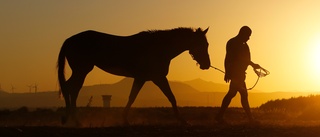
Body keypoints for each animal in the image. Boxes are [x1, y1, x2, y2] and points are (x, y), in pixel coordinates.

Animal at [57, 27, 210, 126]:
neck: (158, 47)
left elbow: (137, 97)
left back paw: (69, 118)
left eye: (206, 44)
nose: (207, 65)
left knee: (70, 87)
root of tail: (69, 40)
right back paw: (73, 119)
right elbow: (166, 96)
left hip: (80, 70)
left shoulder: (149, 78)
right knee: (72, 88)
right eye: (202, 44)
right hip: (82, 70)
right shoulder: (153, 77)